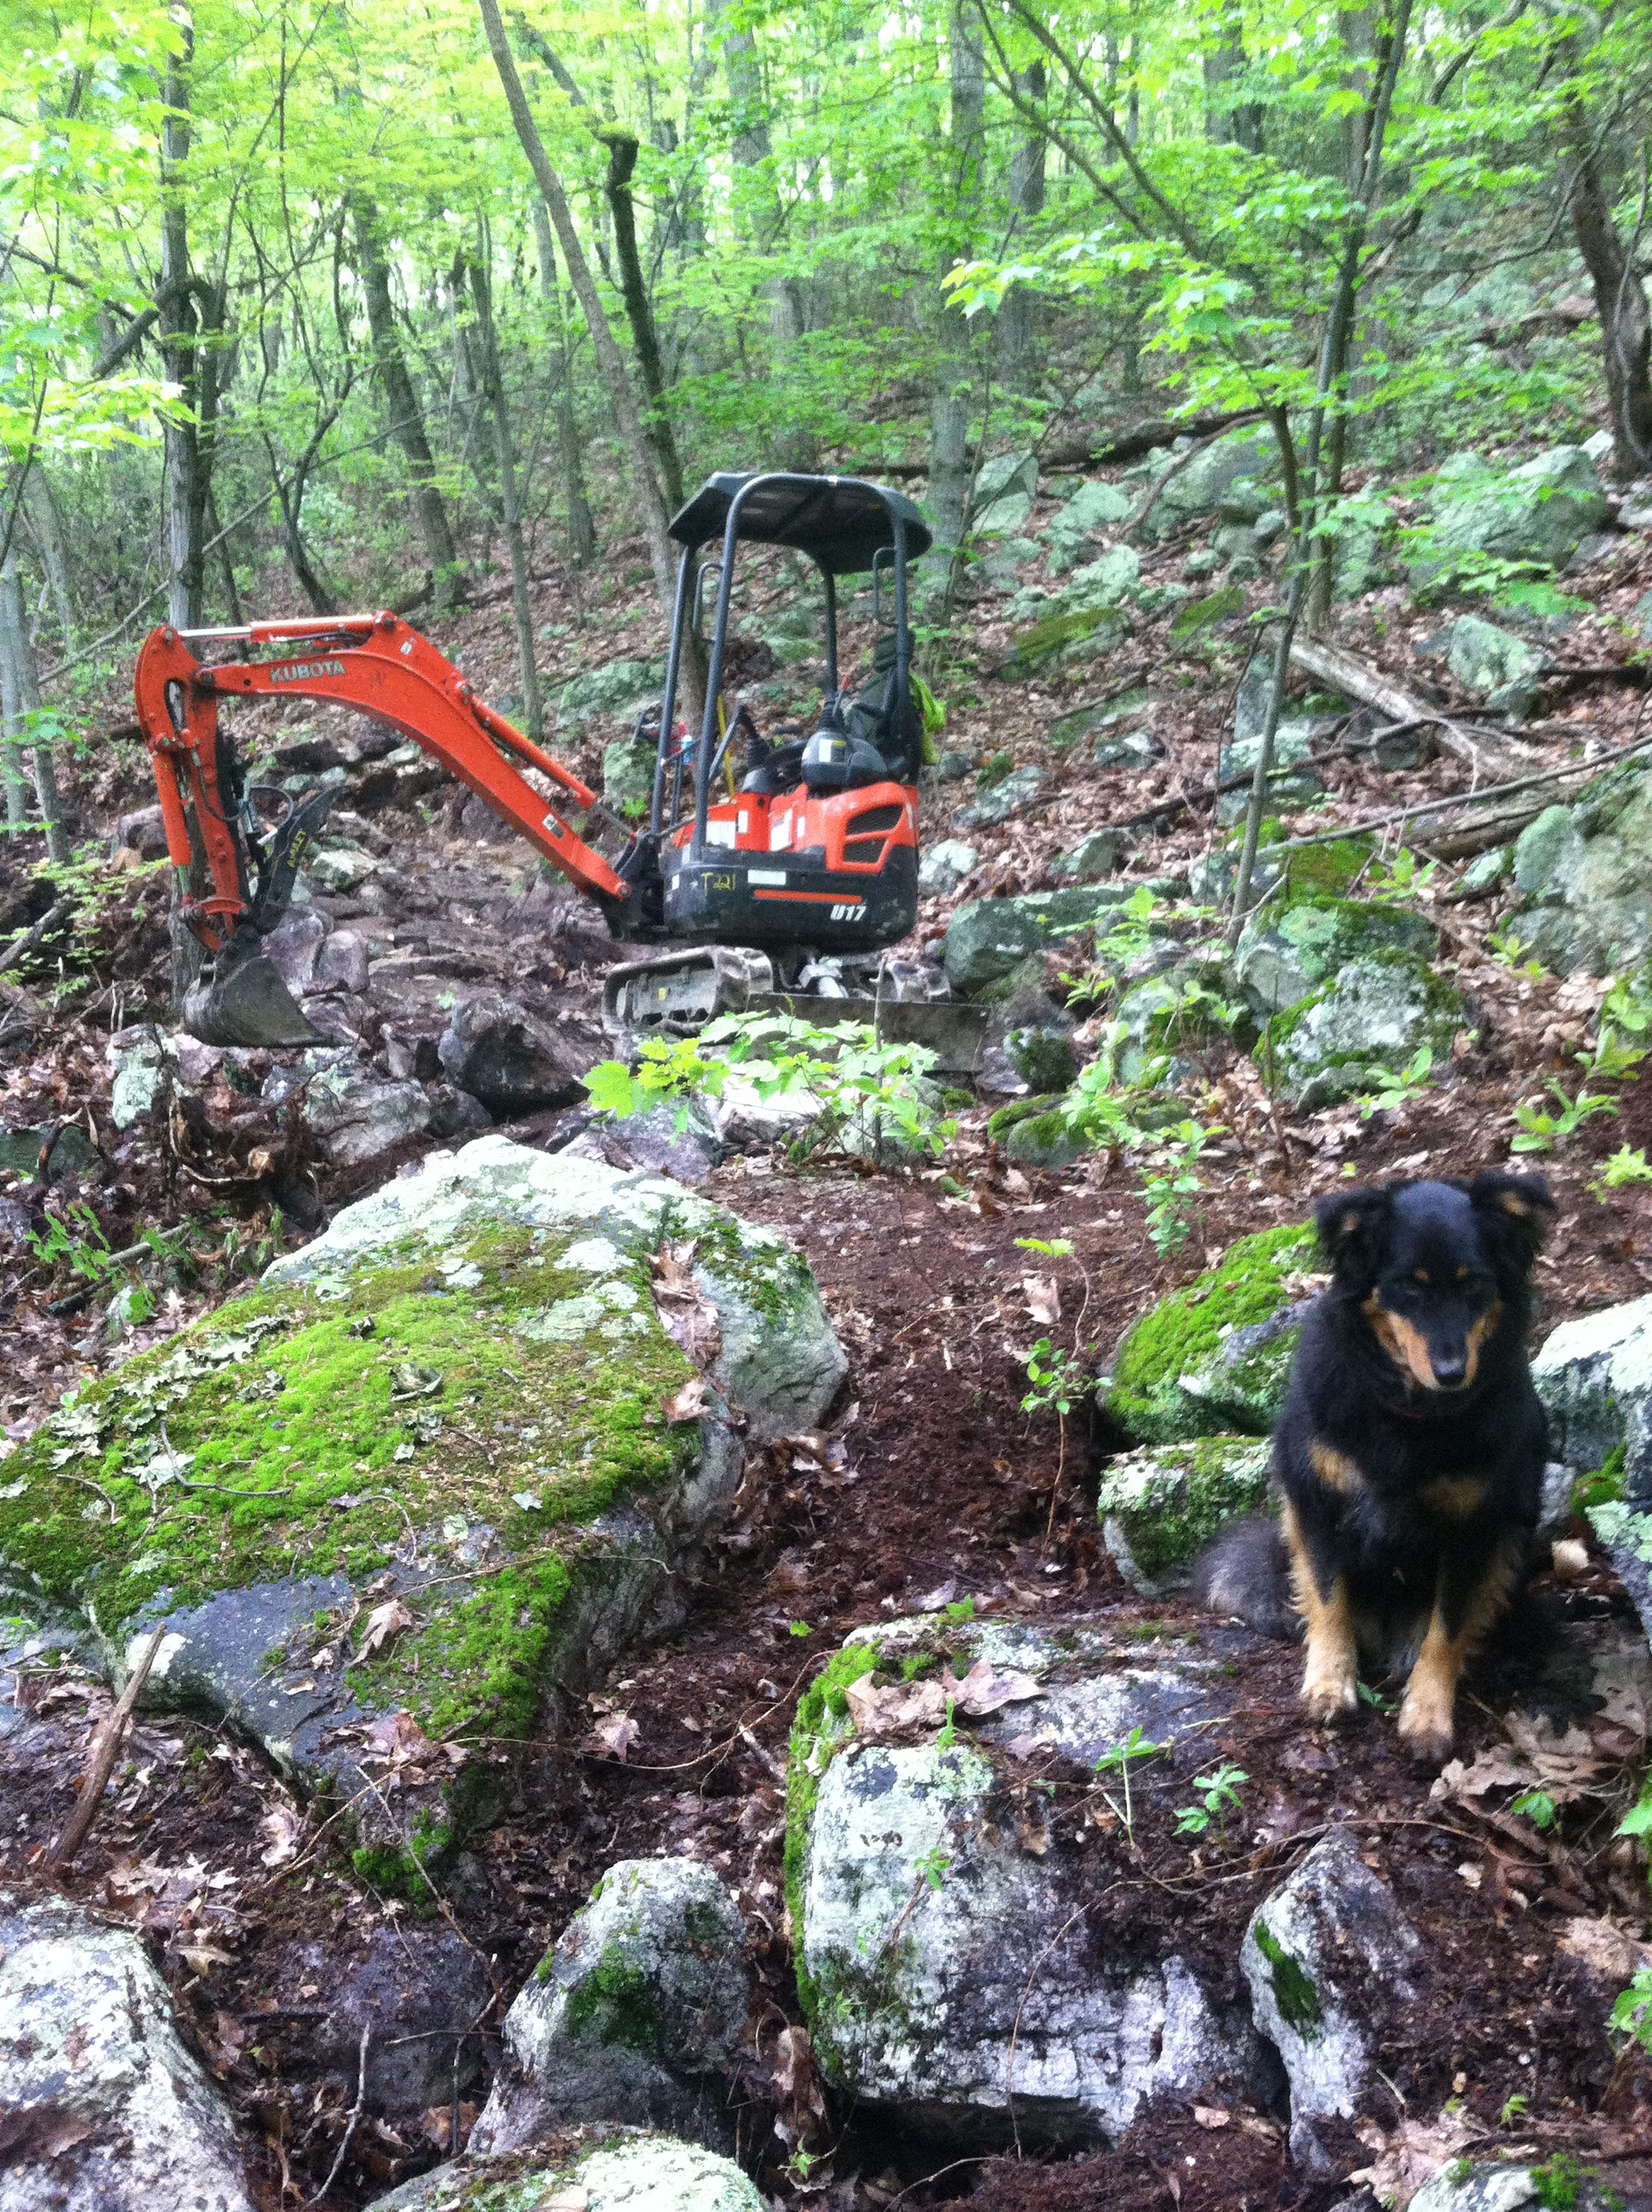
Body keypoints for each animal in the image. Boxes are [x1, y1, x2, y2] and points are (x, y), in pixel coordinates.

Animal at [1194, 1171, 1554, 1763]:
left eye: (1474, 1286)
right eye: (1408, 1288)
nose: (1452, 1372)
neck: (1411, 1409)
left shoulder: (1474, 1530)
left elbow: (1446, 1631)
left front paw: (1428, 1716)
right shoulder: (1317, 1499)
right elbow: (1328, 1600)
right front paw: (1328, 1685)